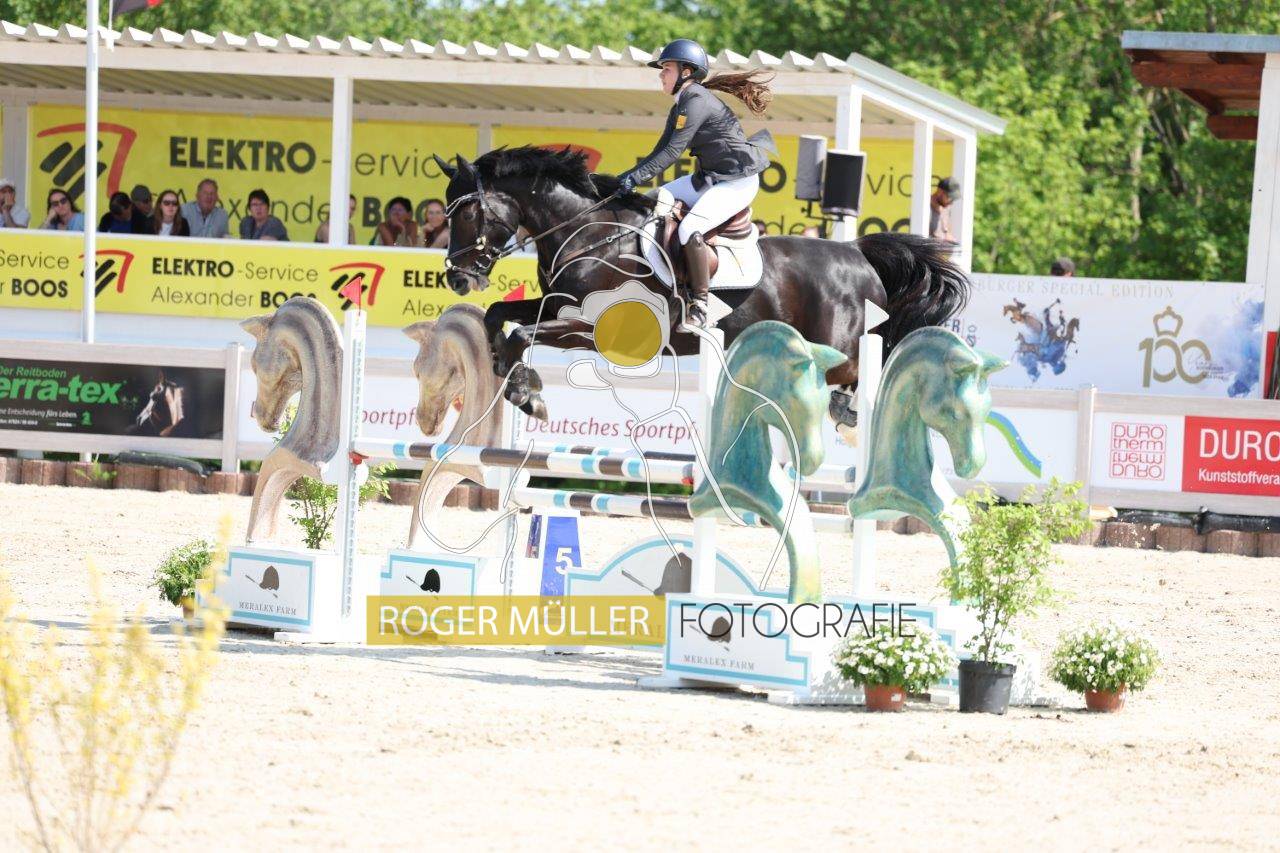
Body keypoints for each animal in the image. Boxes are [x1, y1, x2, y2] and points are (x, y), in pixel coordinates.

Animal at [433, 147, 971, 428]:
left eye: (467, 212)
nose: (458, 277)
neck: (589, 232)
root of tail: (858, 254)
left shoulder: (594, 330)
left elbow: (523, 332)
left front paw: (527, 392)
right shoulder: (555, 304)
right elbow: (499, 315)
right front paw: (506, 374)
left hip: (840, 349)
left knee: (865, 374)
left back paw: (853, 411)